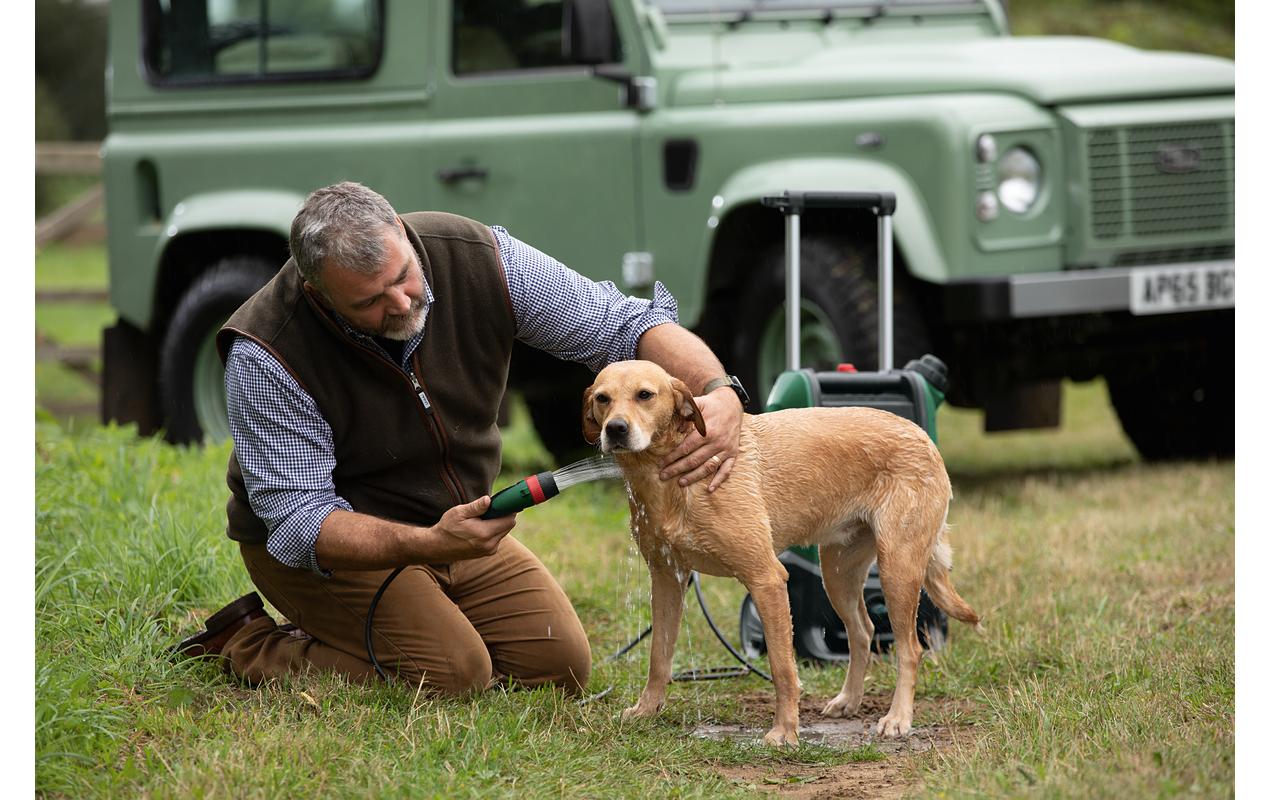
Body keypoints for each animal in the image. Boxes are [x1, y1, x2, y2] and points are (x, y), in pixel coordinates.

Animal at [584, 358, 981, 747]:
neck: (668, 482)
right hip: (838, 574)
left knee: (909, 648)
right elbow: (658, 656)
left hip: (897, 568)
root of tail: (922, 436)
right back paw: (848, 701)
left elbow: (782, 666)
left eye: (645, 395)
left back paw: (898, 718)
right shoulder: (667, 579)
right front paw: (646, 710)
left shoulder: (767, 579)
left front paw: (785, 731)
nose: (616, 429)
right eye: (603, 398)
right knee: (863, 632)